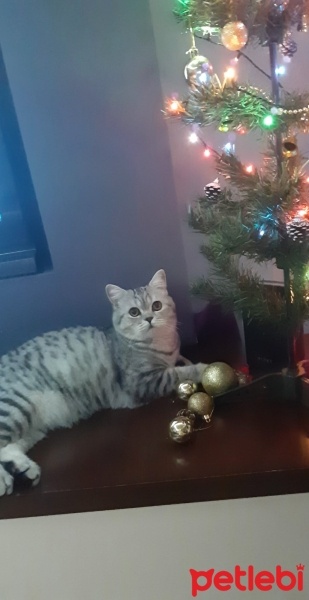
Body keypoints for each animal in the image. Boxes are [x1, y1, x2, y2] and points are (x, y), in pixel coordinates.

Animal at [0, 270, 207, 496]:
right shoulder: (143, 381)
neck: (162, 345)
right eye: (134, 312)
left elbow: (182, 362)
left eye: (157, 305)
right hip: (15, 405)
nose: (149, 318)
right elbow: (181, 373)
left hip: (31, 426)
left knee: (7, 447)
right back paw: (5, 480)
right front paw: (206, 368)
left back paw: (23, 471)